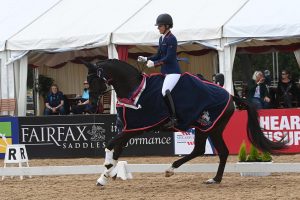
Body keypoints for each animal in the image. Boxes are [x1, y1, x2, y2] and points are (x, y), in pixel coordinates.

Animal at [82, 59, 286, 186]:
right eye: (88, 80)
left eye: (94, 80)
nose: (91, 104)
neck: (134, 91)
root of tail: (230, 95)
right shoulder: (130, 128)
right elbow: (116, 151)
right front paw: (106, 176)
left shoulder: (135, 128)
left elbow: (110, 145)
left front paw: (108, 170)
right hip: (205, 128)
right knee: (202, 150)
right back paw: (190, 173)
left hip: (211, 126)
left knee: (218, 151)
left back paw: (202, 176)